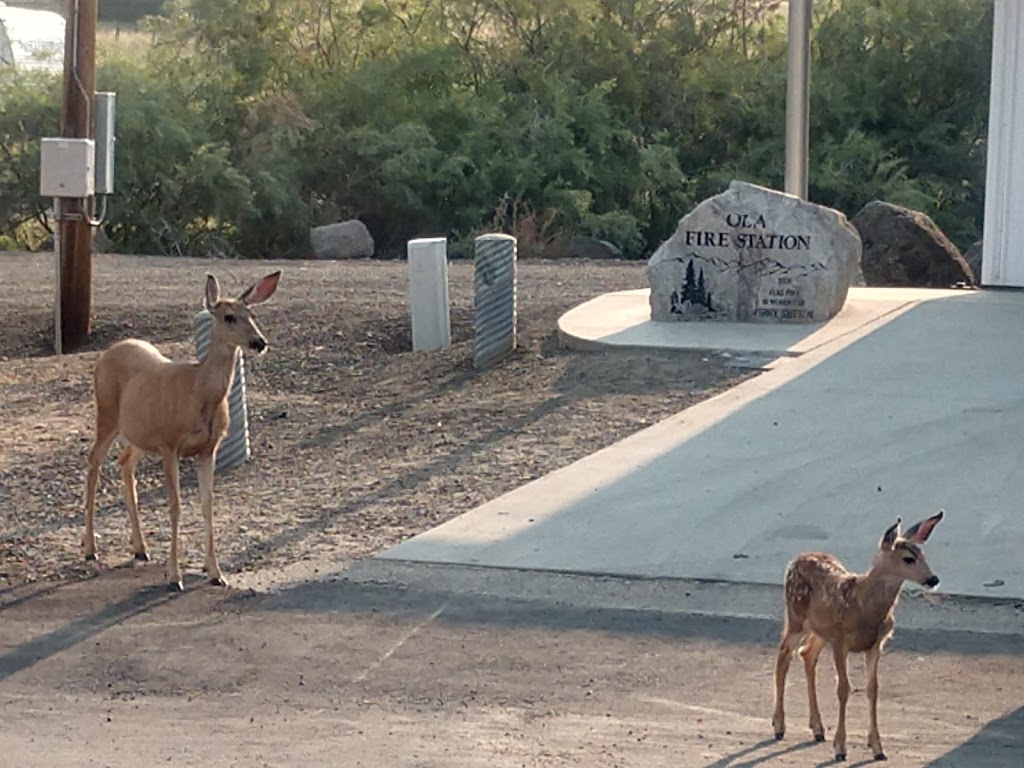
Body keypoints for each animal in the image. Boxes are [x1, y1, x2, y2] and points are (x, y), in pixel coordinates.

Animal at [82, 274, 282, 593]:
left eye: (252, 314)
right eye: (228, 316)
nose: (259, 342)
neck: (197, 389)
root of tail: (107, 352)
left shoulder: (208, 448)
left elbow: (207, 504)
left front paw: (216, 573)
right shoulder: (169, 443)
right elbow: (175, 506)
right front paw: (174, 576)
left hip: (139, 432)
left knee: (125, 461)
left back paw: (140, 548)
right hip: (107, 413)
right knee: (94, 462)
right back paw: (90, 548)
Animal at [770, 512, 942, 765]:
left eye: (923, 555)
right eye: (909, 558)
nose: (933, 579)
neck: (864, 607)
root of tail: (795, 559)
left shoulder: (875, 645)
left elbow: (873, 689)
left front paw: (878, 748)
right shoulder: (841, 641)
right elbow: (844, 689)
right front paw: (840, 748)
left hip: (820, 630)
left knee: (806, 654)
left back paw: (817, 728)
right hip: (796, 617)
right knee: (784, 655)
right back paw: (779, 726)